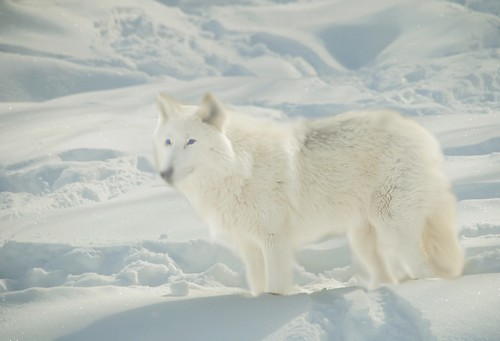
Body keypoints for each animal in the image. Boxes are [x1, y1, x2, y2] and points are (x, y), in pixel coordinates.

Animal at [152, 93, 464, 294]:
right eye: (168, 142)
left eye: (191, 142)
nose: (164, 174)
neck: (240, 167)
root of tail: (421, 134)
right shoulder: (249, 246)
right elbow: (259, 287)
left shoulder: (274, 241)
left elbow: (275, 288)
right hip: (363, 239)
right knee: (387, 275)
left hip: (395, 228)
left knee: (425, 271)